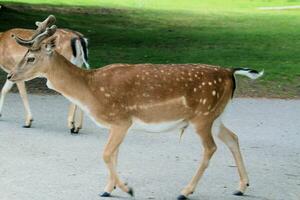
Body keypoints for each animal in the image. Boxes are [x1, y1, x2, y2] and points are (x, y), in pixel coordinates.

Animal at [8, 18, 262, 199]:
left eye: (31, 58)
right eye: (25, 55)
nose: (10, 75)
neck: (91, 90)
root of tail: (230, 72)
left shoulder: (121, 119)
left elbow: (106, 154)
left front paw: (127, 188)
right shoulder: (118, 124)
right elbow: (114, 155)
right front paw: (108, 189)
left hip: (203, 116)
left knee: (211, 148)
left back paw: (185, 191)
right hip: (216, 115)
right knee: (233, 138)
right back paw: (241, 186)